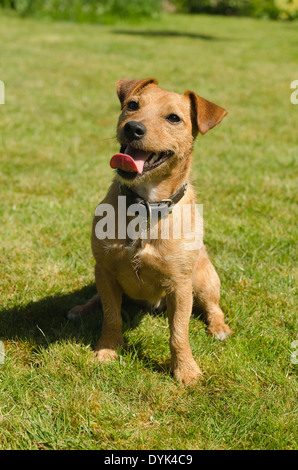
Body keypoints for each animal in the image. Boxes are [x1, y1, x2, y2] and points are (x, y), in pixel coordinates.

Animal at [68, 78, 232, 386]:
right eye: (133, 105)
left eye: (174, 118)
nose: (133, 128)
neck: (145, 206)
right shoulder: (105, 270)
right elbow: (112, 317)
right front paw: (107, 350)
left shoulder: (180, 286)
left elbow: (179, 333)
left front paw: (185, 370)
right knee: (100, 299)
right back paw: (82, 308)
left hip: (204, 278)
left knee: (213, 306)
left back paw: (219, 327)